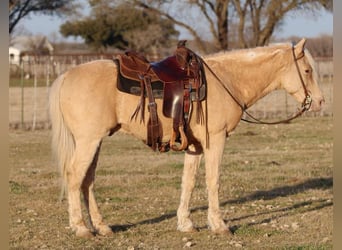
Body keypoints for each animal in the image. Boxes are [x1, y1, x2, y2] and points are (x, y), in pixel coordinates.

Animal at [48, 38, 324, 237]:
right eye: (307, 70)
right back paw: (81, 228)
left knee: (87, 181)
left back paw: (102, 227)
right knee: (75, 176)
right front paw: (219, 225)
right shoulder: (216, 140)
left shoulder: (196, 147)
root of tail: (66, 76)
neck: (226, 81)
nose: (320, 102)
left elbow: (188, 182)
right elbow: (213, 181)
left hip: (95, 142)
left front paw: (186, 223)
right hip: (89, 141)